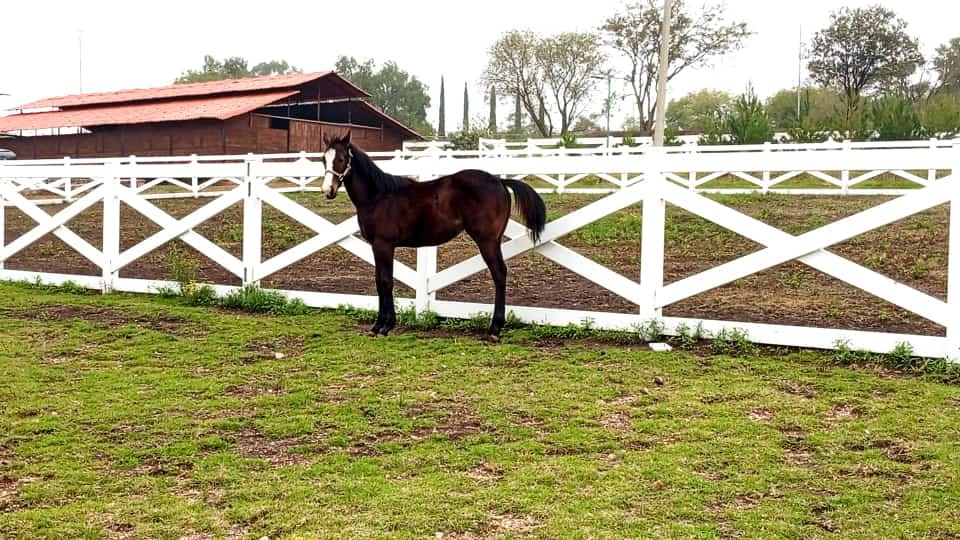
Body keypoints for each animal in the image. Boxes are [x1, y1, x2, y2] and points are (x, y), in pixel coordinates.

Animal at [319, 132, 547, 341]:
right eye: (324, 159)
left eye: (341, 158)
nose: (327, 190)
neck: (379, 197)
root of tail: (499, 180)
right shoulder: (376, 247)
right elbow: (379, 281)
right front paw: (379, 325)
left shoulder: (384, 245)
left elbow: (385, 282)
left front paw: (384, 326)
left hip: (487, 241)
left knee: (499, 274)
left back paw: (494, 330)